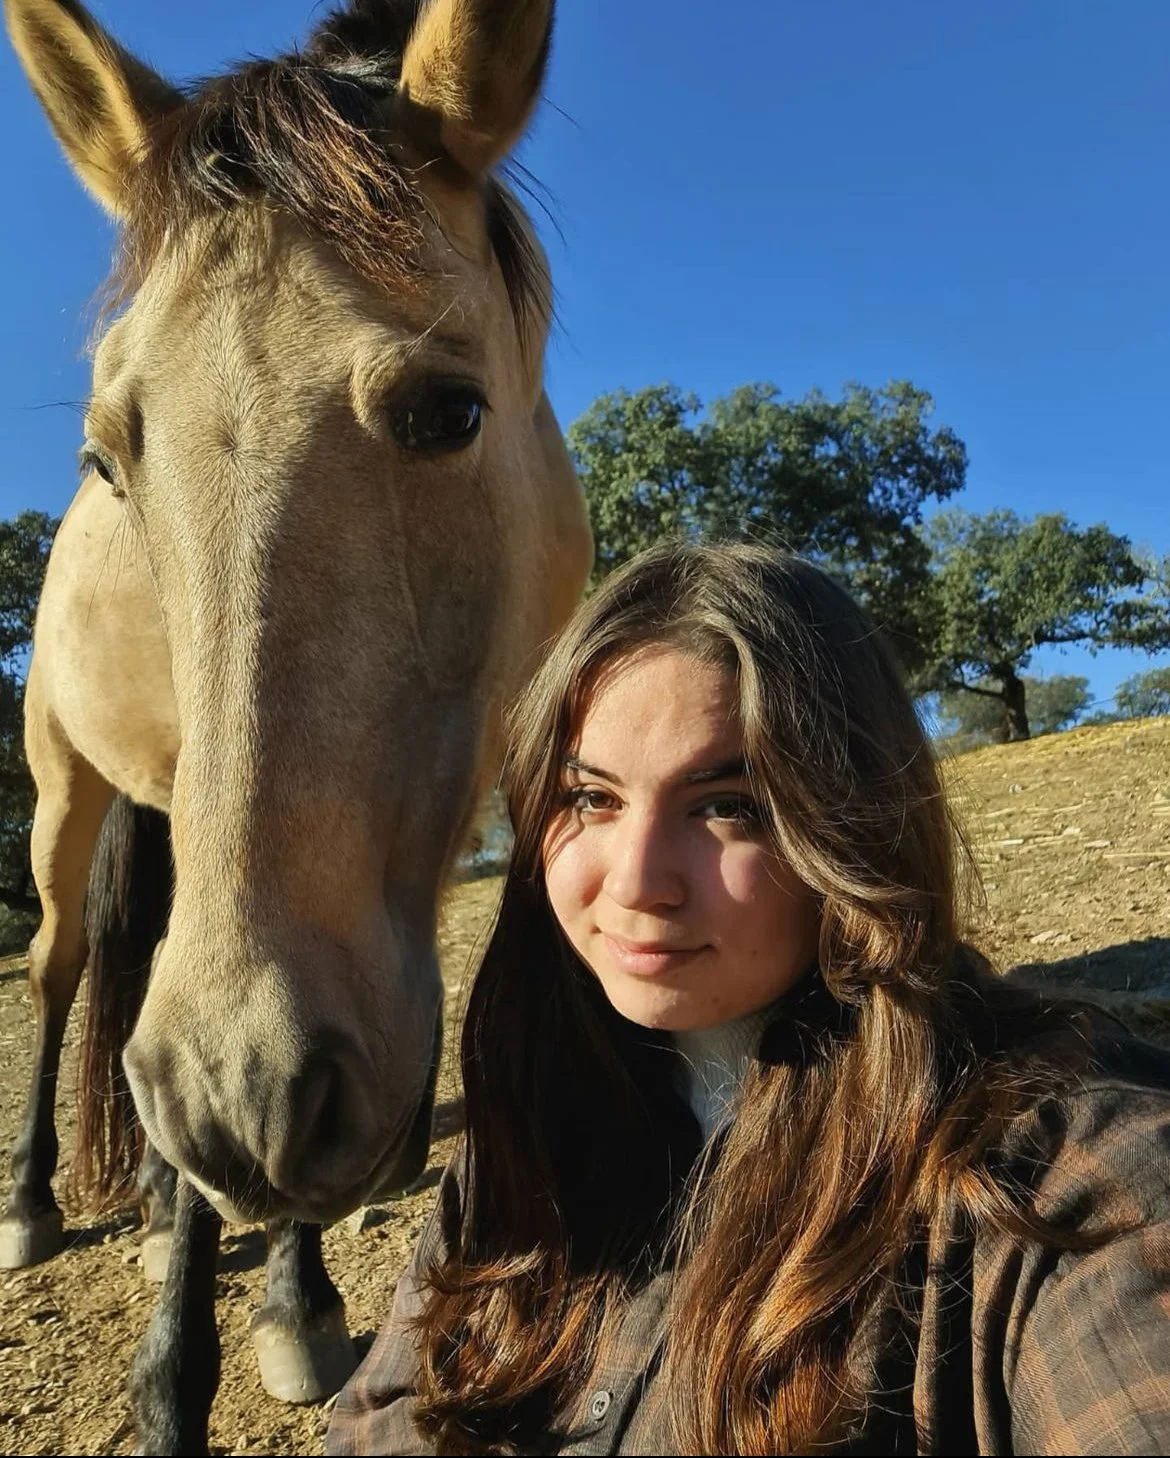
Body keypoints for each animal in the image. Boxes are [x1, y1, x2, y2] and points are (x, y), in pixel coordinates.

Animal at [0, 0, 592, 1450]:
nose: (247, 1096)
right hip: (65, 789)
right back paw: (42, 1202)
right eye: (108, 453)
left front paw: (293, 1298)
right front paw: (175, 1369)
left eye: (452, 408)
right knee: (58, 965)